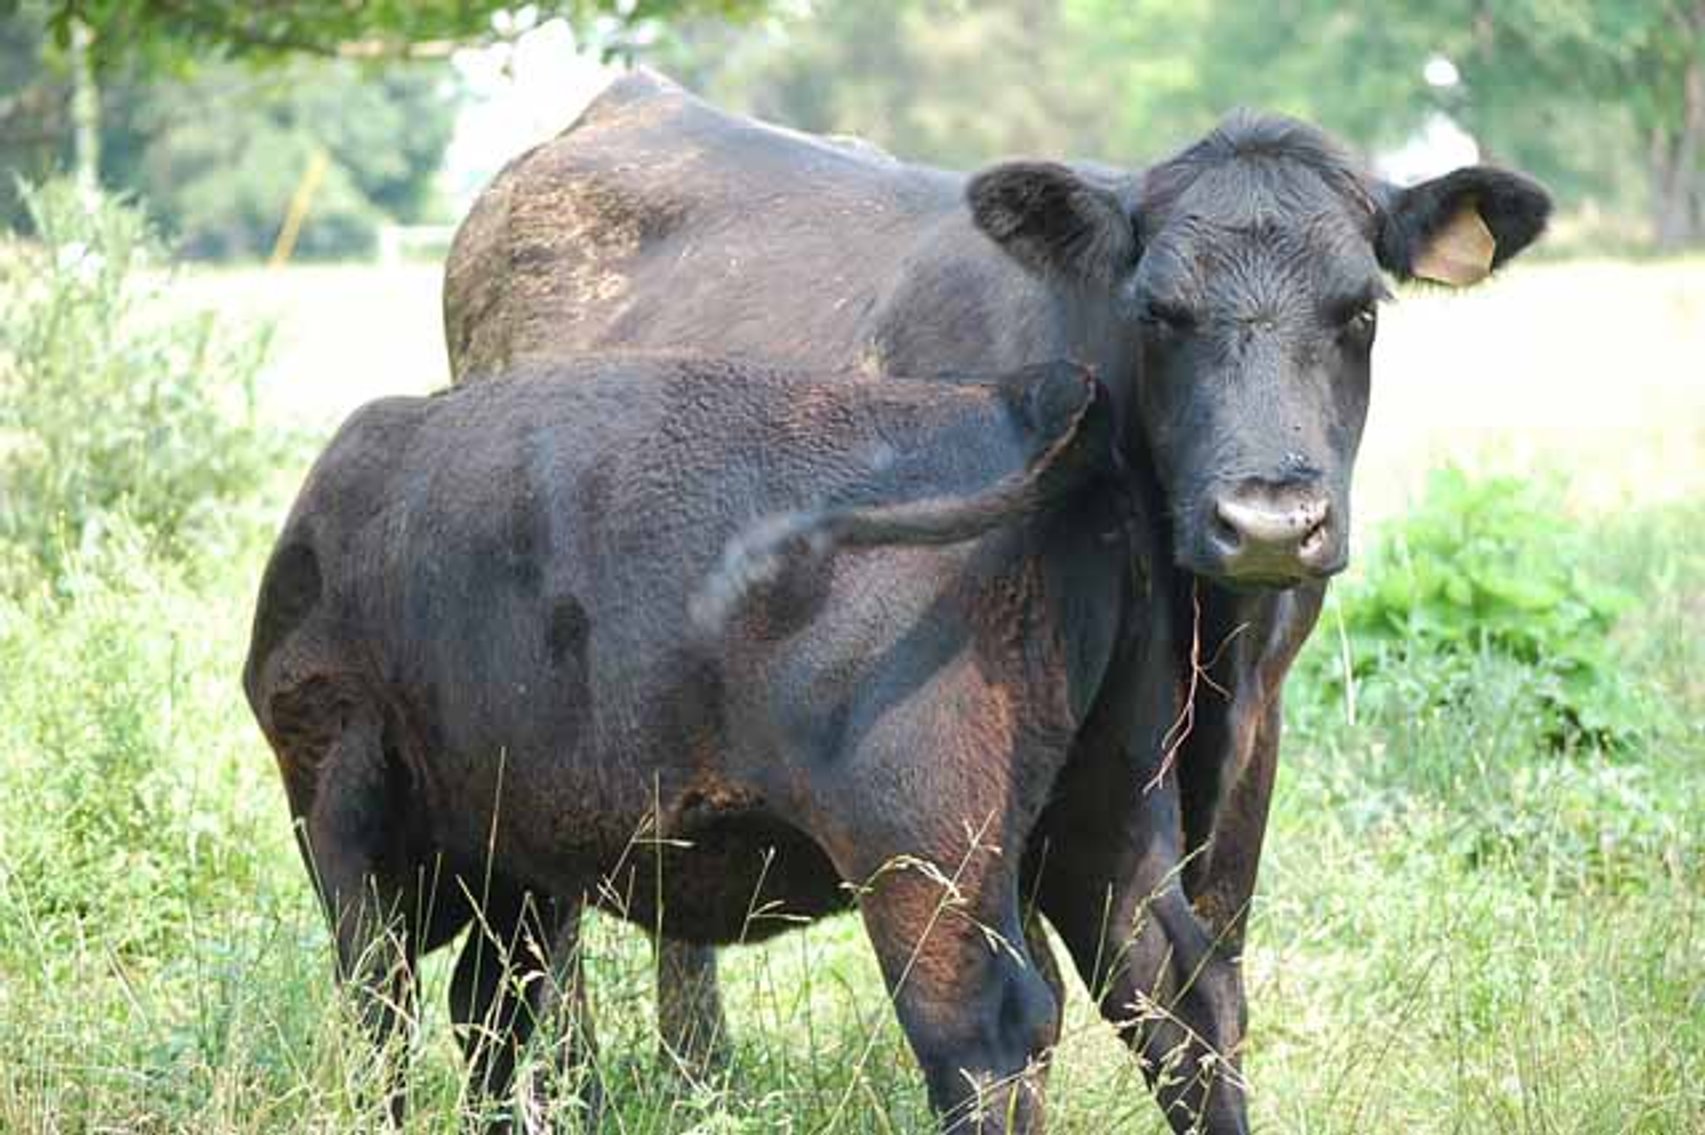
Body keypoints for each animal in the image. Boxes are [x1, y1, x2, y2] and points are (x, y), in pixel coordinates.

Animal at [438, 70, 1550, 1134]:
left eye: (1359, 309)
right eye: (1158, 312)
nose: (1269, 520)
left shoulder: (1249, 733)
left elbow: (1210, 971)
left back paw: (697, 1076)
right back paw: (572, 1087)